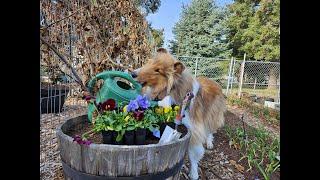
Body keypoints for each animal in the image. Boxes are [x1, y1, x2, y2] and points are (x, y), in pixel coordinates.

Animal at [132, 48, 225, 179]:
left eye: (157, 70)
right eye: (149, 62)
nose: (132, 74)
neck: (172, 90)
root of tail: (214, 81)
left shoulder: (194, 129)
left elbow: (193, 154)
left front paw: (194, 173)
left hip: (212, 114)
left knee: (210, 129)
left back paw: (209, 142)